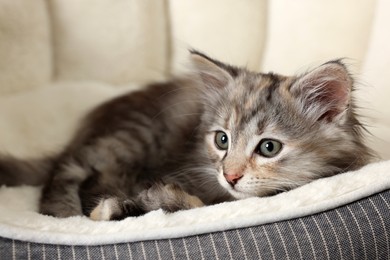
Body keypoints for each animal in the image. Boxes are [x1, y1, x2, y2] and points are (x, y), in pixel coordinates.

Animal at [0, 51, 374, 220]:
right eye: (222, 140)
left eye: (269, 147)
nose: (230, 176)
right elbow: (190, 202)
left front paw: (140, 204)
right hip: (133, 136)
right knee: (68, 165)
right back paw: (63, 210)